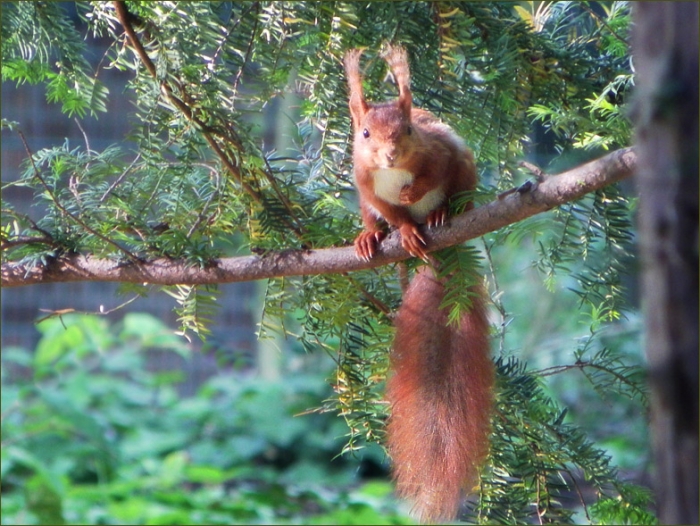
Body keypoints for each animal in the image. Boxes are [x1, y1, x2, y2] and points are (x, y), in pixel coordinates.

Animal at [343, 44, 494, 523]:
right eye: (365, 133)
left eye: (407, 129)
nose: (391, 155)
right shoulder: (365, 182)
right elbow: (388, 208)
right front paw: (401, 227)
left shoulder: (438, 151)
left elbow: (434, 171)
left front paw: (415, 195)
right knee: (374, 219)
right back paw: (371, 236)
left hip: (465, 173)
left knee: (457, 188)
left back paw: (443, 214)